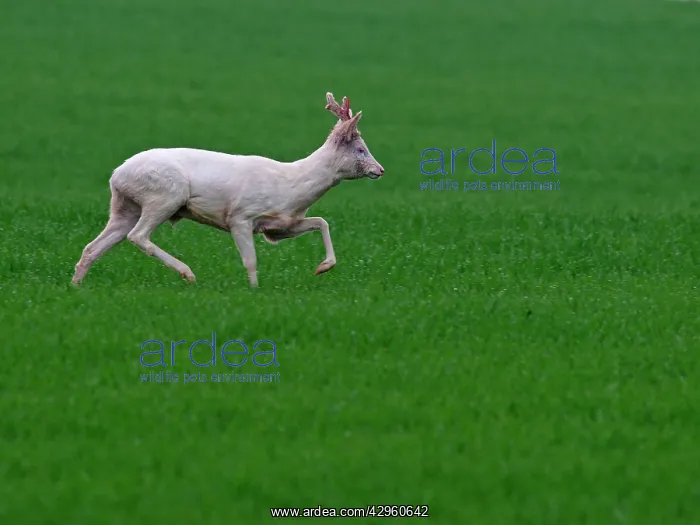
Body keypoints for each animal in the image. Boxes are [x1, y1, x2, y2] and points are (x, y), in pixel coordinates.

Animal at [71, 92, 384, 288]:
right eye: (360, 148)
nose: (380, 170)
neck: (292, 185)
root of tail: (116, 174)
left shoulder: (279, 227)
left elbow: (321, 221)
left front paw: (323, 267)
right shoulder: (241, 216)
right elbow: (251, 260)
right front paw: (254, 290)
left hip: (125, 206)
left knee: (94, 246)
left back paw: (76, 286)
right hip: (164, 196)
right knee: (138, 236)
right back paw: (188, 274)